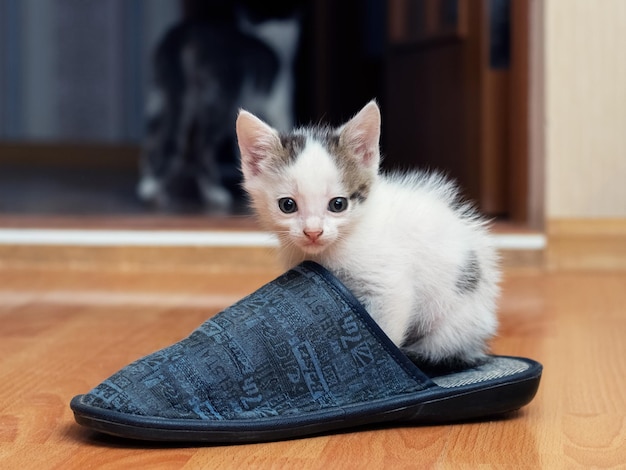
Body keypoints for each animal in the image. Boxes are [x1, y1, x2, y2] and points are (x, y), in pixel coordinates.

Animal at [234, 101, 498, 370]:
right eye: (287, 205)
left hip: (455, 320)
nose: (313, 232)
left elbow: (386, 331)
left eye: (338, 204)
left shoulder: (389, 284)